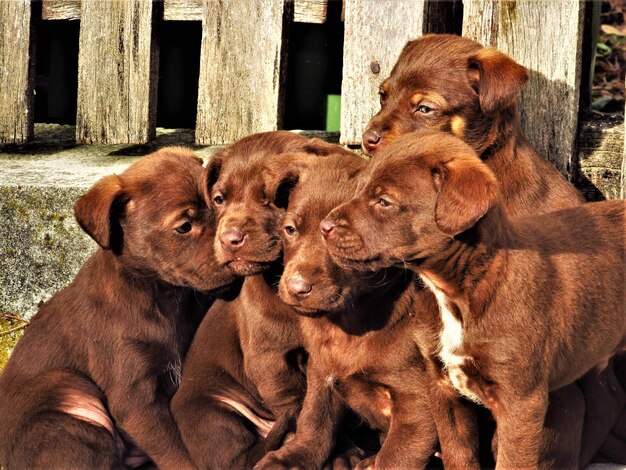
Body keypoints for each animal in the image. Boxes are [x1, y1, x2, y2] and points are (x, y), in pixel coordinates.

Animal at [0, 148, 236, 470]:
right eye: (184, 227)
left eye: (220, 203)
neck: (161, 296)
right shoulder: (136, 401)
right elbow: (179, 457)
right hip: (67, 391)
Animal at [172, 132, 360, 470]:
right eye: (219, 199)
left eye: (273, 199)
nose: (229, 239)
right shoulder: (271, 360)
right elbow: (304, 407)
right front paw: (341, 452)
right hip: (207, 411)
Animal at [254, 155, 438, 470]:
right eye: (290, 229)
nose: (296, 287)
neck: (347, 322)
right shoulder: (321, 373)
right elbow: (315, 423)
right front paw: (290, 458)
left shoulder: (416, 403)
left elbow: (395, 457)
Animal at [322, 129, 624, 470]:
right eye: (358, 191)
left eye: (384, 201)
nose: (324, 227)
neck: (457, 294)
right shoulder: (443, 387)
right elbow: (458, 454)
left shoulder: (521, 403)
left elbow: (511, 461)